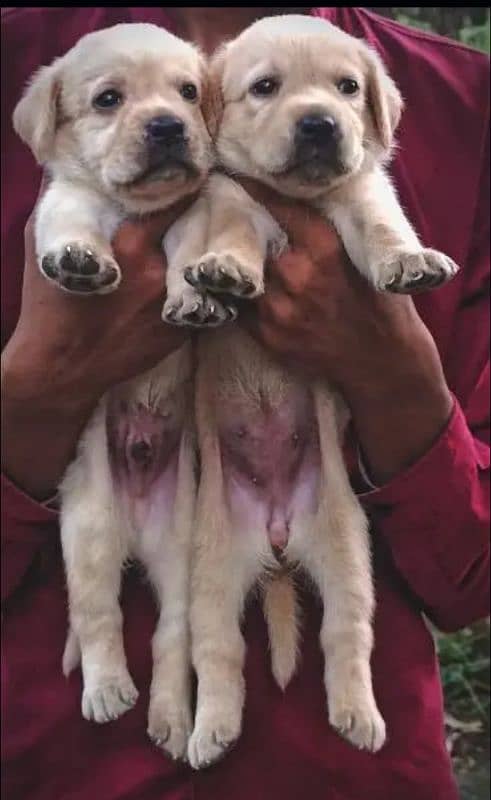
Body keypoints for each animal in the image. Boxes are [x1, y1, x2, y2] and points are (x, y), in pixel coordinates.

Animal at [13, 23, 218, 764]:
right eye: (108, 100)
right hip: (89, 534)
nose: (168, 126)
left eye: (188, 92)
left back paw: (170, 718)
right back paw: (106, 691)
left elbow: (190, 252)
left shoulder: (192, 215)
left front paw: (192, 295)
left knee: (170, 635)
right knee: (99, 616)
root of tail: (132, 526)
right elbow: (72, 222)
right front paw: (80, 259)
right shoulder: (65, 202)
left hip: (181, 550)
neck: (134, 206)